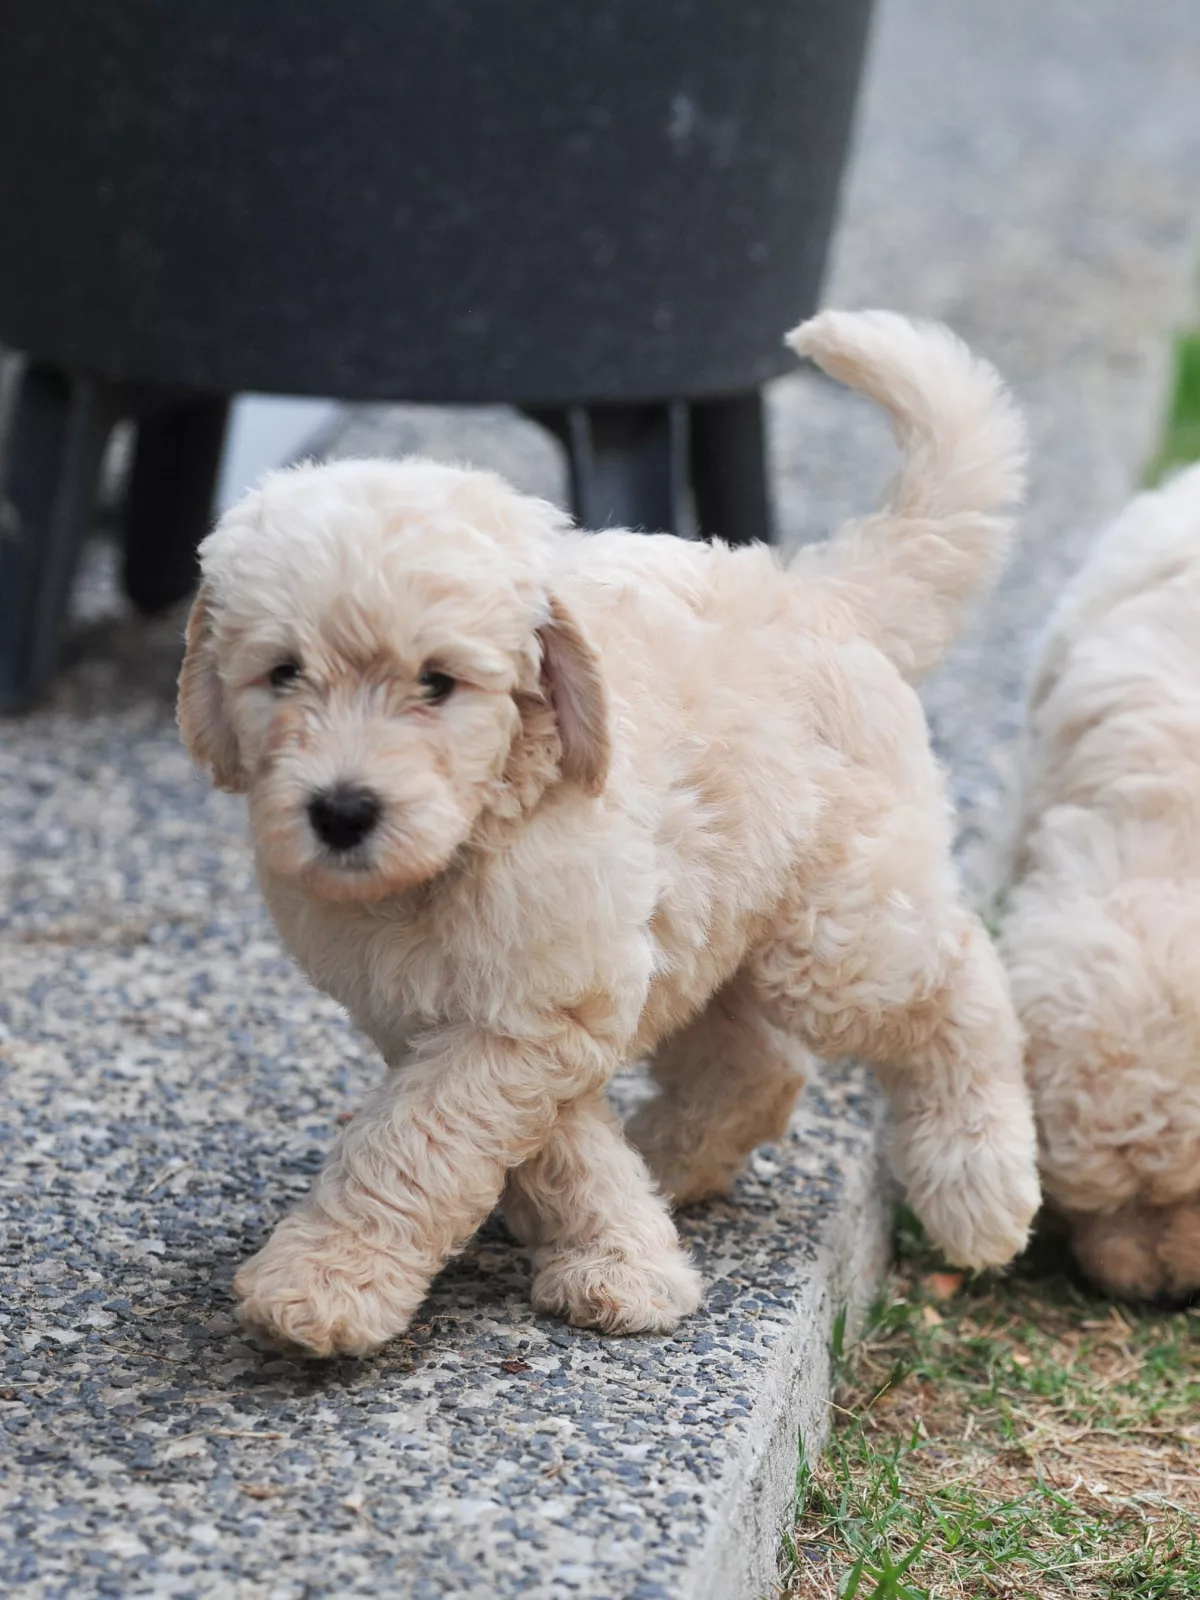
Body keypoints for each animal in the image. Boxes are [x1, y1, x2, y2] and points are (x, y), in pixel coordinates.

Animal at [178, 309, 1039, 1357]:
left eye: (438, 684)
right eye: (282, 675)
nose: (341, 812)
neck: (467, 844)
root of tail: (818, 587)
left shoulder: (535, 1004)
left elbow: (415, 1139)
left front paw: (324, 1280)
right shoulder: (454, 1011)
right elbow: (548, 1139)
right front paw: (624, 1257)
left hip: (834, 933)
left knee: (956, 975)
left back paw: (981, 1187)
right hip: (711, 915)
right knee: (758, 1062)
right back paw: (673, 1161)